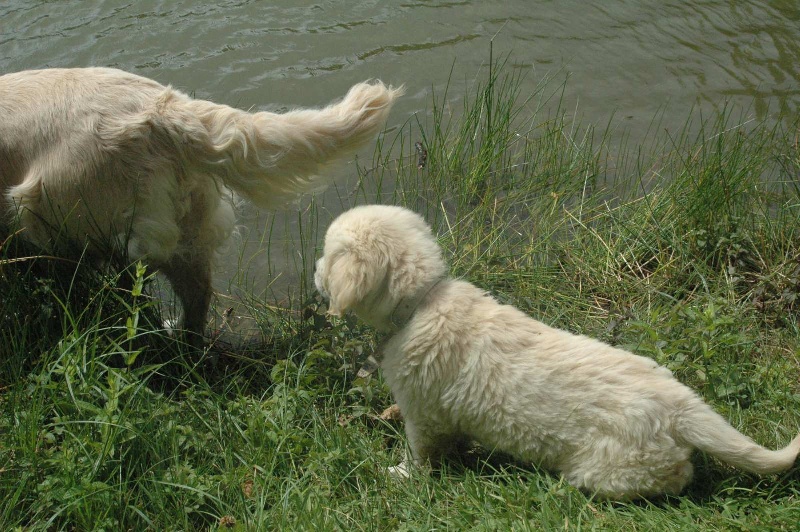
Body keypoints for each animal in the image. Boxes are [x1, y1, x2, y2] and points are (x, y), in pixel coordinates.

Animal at [314, 204, 800, 498]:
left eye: (326, 255)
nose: (315, 273)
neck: (423, 301)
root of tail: (680, 405)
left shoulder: (422, 412)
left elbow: (421, 453)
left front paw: (402, 475)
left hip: (611, 467)